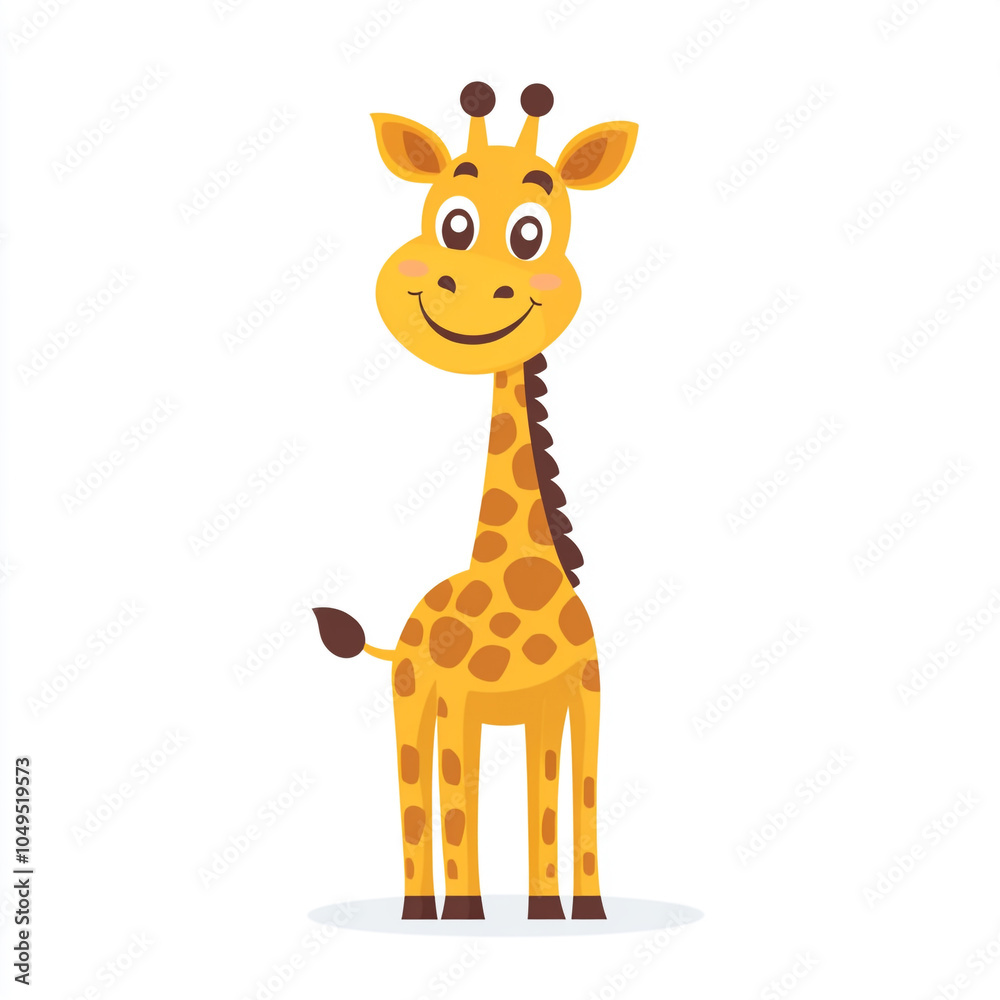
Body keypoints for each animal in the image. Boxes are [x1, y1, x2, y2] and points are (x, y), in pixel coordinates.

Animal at [314, 82, 637, 920]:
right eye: (452, 221)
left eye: (531, 233)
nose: (459, 289)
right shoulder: (459, 700)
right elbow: (459, 801)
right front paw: (466, 913)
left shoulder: (573, 699)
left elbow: (568, 797)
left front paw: (567, 912)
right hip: (413, 695)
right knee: (418, 787)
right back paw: (420, 907)